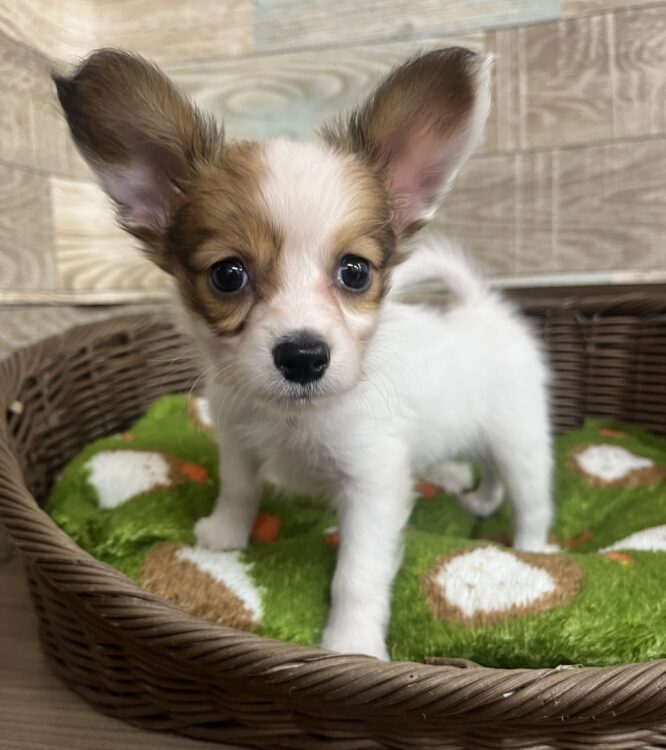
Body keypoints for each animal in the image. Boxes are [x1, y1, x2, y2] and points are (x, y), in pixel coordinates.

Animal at [54, 47, 553, 660]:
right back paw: (480, 500)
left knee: (532, 497)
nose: (303, 356)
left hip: (520, 439)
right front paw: (224, 535)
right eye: (227, 275)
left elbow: (357, 572)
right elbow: (239, 489)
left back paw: (534, 549)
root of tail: (479, 306)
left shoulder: (373, 482)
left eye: (355, 272)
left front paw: (353, 642)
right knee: (490, 472)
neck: (292, 417)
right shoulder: (237, 439)